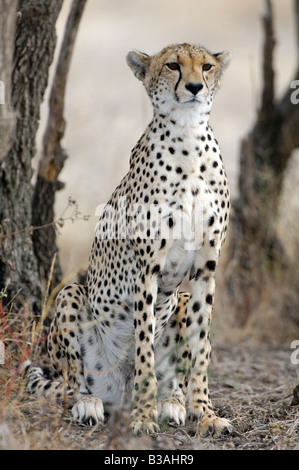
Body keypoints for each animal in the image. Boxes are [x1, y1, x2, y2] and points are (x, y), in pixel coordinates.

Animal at [24, 42, 233, 436]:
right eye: (172, 66)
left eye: (207, 66)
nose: (195, 87)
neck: (189, 138)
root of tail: (117, 392)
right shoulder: (147, 268)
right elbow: (144, 349)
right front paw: (143, 417)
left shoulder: (205, 267)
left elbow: (199, 350)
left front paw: (204, 413)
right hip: (71, 295)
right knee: (72, 381)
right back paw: (90, 404)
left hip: (180, 299)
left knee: (174, 377)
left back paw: (172, 404)